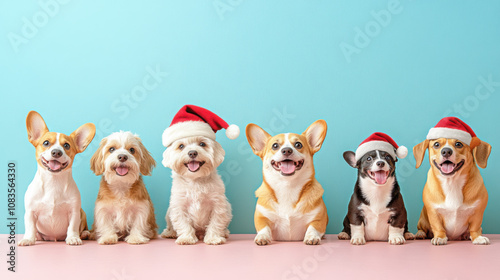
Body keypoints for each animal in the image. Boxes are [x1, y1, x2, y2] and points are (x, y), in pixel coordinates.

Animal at [18, 110, 95, 246]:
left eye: (67, 146)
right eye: (46, 143)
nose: (56, 152)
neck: (53, 181)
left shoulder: (74, 212)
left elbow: (73, 227)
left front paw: (73, 238)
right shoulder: (30, 212)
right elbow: (30, 227)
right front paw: (28, 239)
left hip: (83, 213)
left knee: (82, 228)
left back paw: (84, 233)